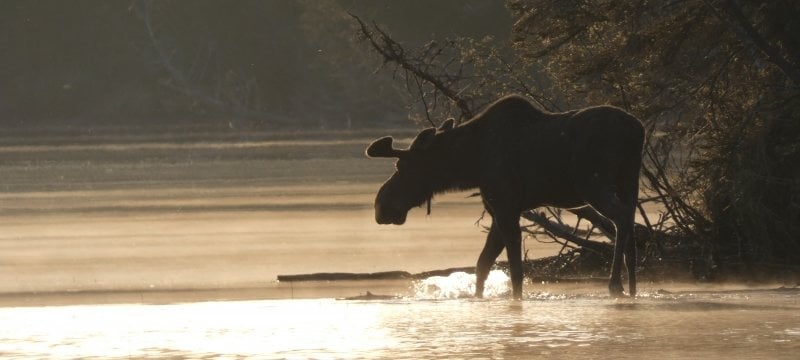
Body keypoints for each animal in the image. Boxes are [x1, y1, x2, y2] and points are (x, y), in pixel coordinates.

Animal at [366, 94, 648, 300]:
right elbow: (482, 265)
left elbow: (515, 272)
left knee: (620, 219)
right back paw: (633, 285)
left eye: (401, 167)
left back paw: (615, 284)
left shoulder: (505, 207)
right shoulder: (499, 211)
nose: (382, 206)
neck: (470, 163)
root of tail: (638, 131)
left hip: (593, 184)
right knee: (630, 222)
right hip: (629, 182)